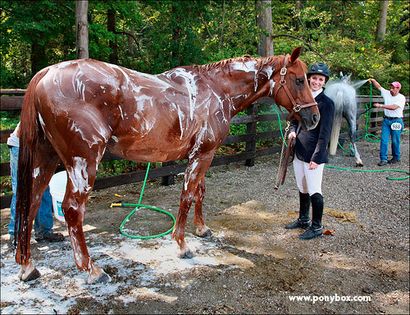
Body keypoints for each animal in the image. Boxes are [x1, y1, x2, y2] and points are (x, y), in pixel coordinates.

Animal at [15, 47, 318, 284]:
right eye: (299, 80)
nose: (314, 117)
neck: (215, 89)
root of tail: (45, 75)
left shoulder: (202, 154)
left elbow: (199, 193)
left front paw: (201, 229)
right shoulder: (203, 155)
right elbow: (187, 196)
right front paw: (182, 245)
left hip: (45, 160)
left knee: (31, 202)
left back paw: (27, 266)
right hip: (83, 163)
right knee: (72, 210)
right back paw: (91, 270)